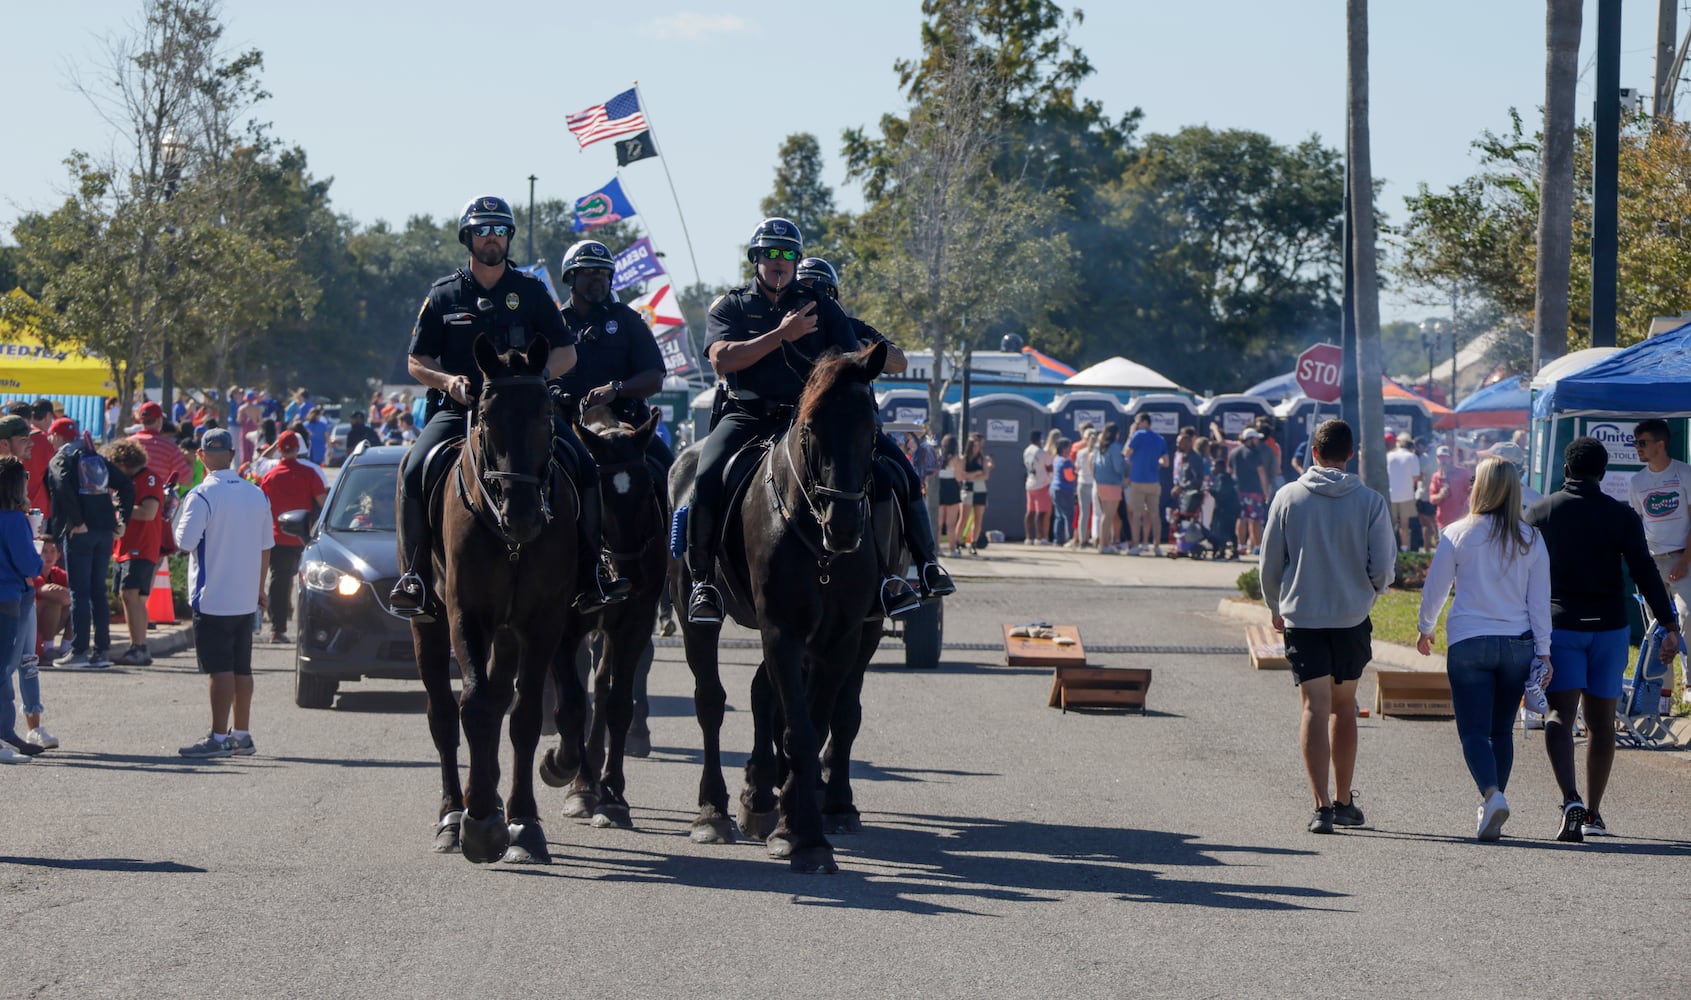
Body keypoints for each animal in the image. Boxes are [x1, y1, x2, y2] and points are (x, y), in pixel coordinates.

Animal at [407, 333, 574, 866]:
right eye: (484, 415)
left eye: (545, 413)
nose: (522, 515)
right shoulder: (467, 614)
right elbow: (474, 705)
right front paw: (478, 822)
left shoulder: (541, 622)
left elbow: (523, 716)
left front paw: (522, 822)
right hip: (427, 622)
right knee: (442, 713)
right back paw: (451, 814)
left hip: (508, 632)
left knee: (503, 701)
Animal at [544, 401, 669, 829]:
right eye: (600, 495)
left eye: (649, 492)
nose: (630, 578)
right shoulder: (564, 631)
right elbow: (572, 706)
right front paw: (577, 783)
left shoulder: (633, 625)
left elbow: (616, 704)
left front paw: (612, 794)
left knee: (601, 683)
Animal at [666, 340, 892, 873]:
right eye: (810, 428)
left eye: (871, 430)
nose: (844, 526)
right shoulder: (781, 631)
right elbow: (799, 732)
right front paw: (802, 834)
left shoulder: (842, 637)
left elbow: (822, 719)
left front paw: (801, 816)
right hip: (694, 619)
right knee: (710, 702)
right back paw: (713, 812)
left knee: (765, 697)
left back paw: (762, 796)